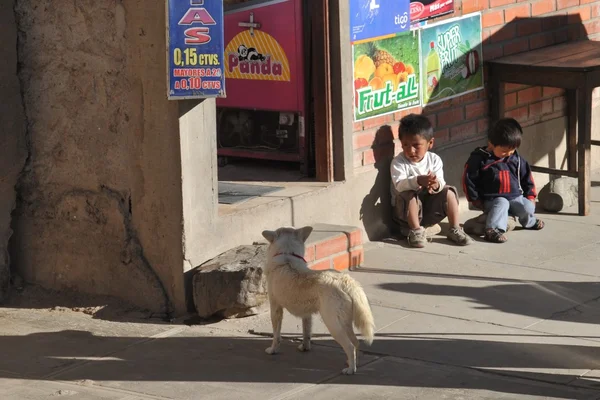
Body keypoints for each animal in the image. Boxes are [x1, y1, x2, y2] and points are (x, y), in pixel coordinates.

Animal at [258, 228, 372, 376]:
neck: (287, 257)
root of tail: (346, 282)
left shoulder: (275, 308)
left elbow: (276, 335)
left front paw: (272, 350)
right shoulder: (306, 315)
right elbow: (306, 332)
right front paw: (305, 347)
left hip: (333, 325)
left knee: (350, 346)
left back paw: (351, 369)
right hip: (345, 323)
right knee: (356, 343)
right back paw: (352, 363)